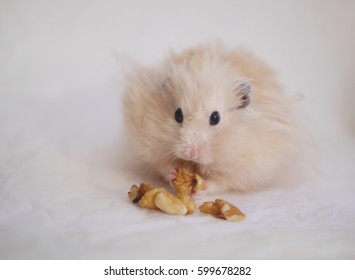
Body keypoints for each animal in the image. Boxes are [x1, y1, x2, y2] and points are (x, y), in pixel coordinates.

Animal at [121, 43, 314, 195]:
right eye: (178, 115)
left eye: (215, 117)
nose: (191, 154)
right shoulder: (147, 142)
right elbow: (162, 164)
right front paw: (174, 173)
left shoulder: (249, 168)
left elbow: (222, 181)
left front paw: (201, 189)